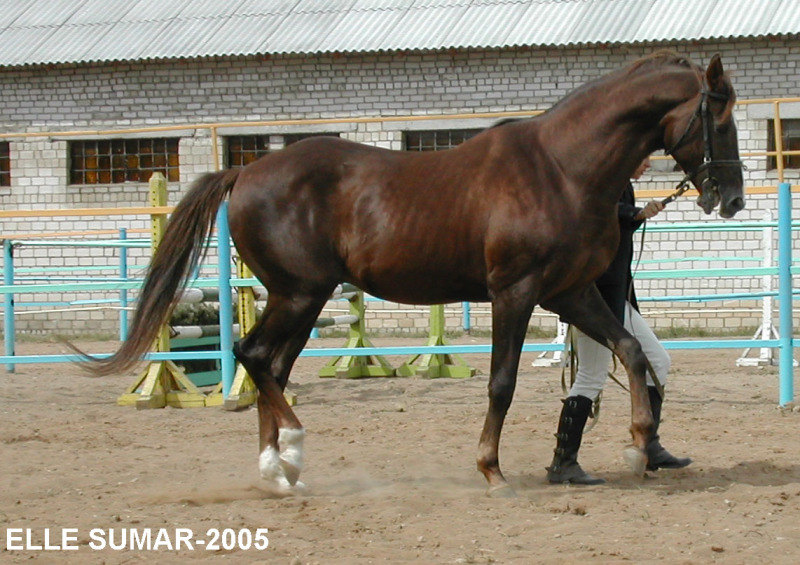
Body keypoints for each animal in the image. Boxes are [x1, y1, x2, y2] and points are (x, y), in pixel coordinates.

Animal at [79, 51, 744, 494]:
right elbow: (501, 382)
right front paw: (490, 468)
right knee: (253, 356)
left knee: (270, 365)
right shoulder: (515, 292)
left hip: (304, 300)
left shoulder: (570, 293)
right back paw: (288, 450)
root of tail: (245, 171)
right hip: (299, 295)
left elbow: (631, 350)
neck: (559, 168)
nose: (732, 199)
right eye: (722, 119)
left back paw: (281, 470)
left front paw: (639, 445)